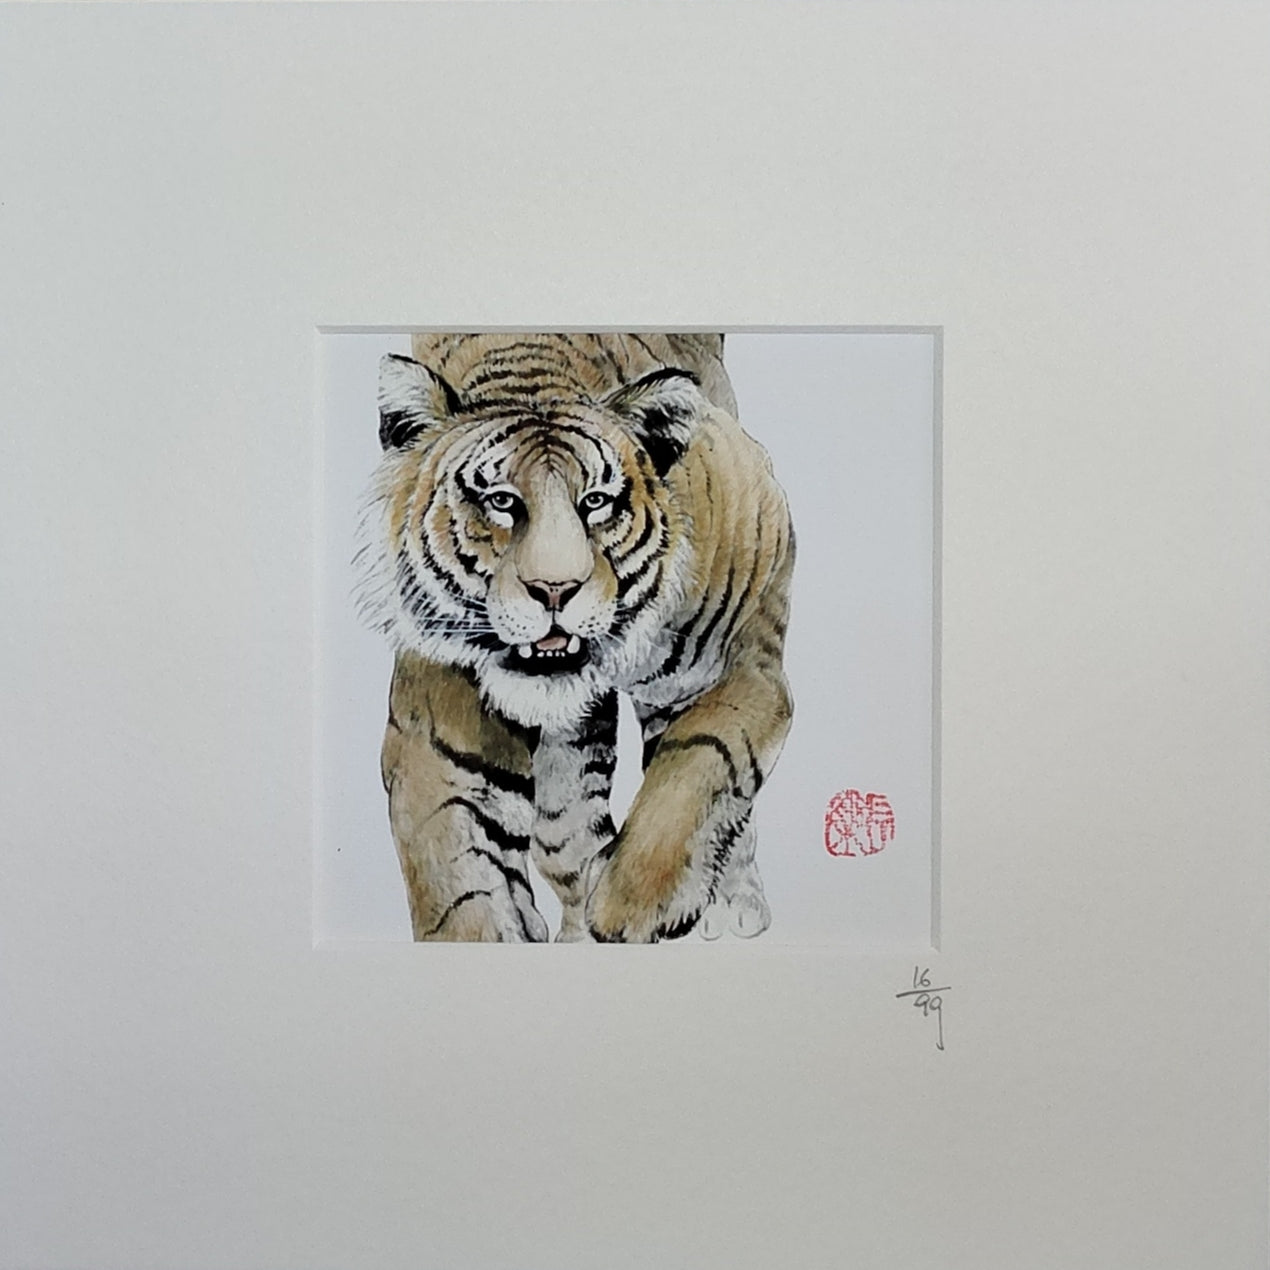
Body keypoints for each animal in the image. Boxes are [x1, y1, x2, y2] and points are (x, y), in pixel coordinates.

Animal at [356, 333, 794, 943]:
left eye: (595, 502)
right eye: (500, 501)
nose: (555, 590)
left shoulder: (744, 667)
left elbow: (698, 764)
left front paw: (629, 905)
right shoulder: (439, 741)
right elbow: (463, 886)